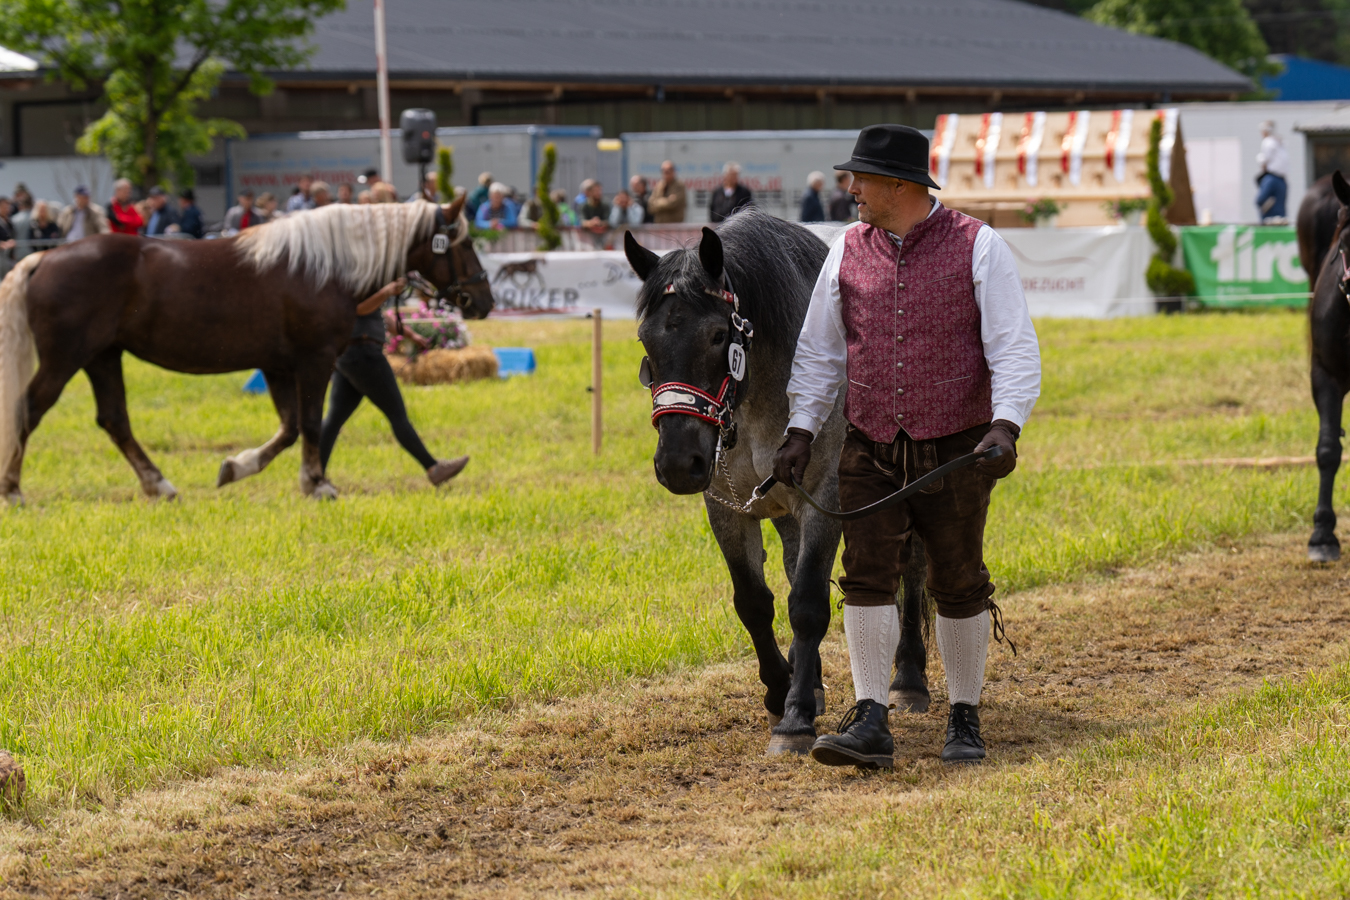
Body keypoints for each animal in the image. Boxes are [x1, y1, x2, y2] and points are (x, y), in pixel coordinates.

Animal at [0, 197, 492, 504]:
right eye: (465, 243)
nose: (483, 300)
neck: (324, 266)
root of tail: (44, 257)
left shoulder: (277, 366)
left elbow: (290, 428)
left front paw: (237, 467)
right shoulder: (314, 360)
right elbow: (310, 423)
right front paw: (317, 484)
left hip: (103, 357)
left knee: (114, 420)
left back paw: (159, 484)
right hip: (67, 359)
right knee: (30, 409)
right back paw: (13, 489)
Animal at [624, 209, 932, 756]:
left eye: (717, 335)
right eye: (646, 339)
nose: (678, 463)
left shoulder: (826, 498)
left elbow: (807, 603)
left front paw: (795, 718)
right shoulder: (727, 506)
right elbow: (754, 602)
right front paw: (781, 689)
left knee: (911, 567)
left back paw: (909, 676)